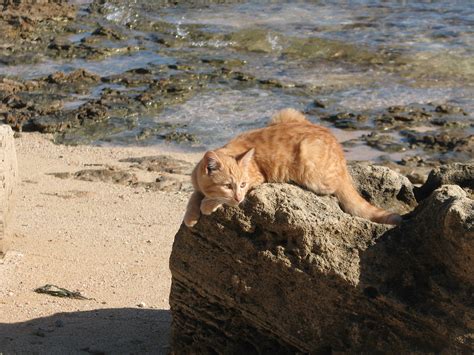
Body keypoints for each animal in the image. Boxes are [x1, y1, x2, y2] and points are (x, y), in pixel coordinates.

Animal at [183, 107, 402, 228]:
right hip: (285, 113)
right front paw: (191, 215)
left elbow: (212, 199)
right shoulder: (197, 184)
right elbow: (194, 196)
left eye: (243, 184)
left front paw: (207, 204)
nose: (238, 198)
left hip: (310, 165)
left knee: (334, 187)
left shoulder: (257, 177)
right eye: (228, 185)